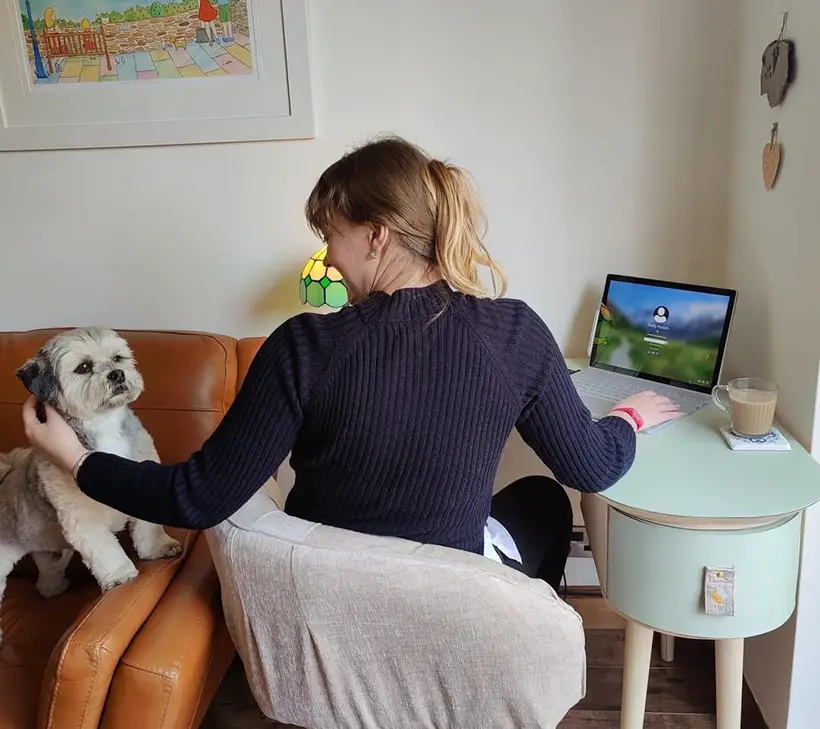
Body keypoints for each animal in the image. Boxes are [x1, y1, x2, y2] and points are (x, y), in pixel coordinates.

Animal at [0, 328, 181, 644]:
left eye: (118, 358)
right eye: (84, 367)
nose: (118, 374)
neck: (103, 426)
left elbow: (148, 528)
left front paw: (157, 549)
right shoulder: (81, 520)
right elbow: (104, 548)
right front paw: (121, 576)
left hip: (50, 552)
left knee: (47, 572)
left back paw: (53, 589)